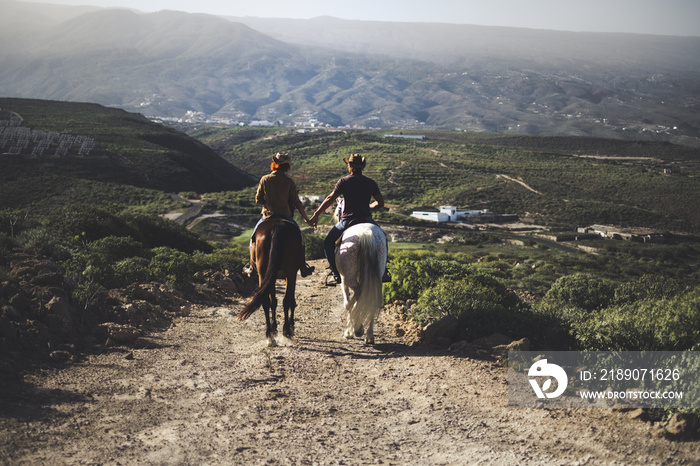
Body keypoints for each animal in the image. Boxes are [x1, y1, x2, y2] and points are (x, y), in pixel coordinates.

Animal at [237, 218, 302, 346]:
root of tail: (276, 227)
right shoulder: (291, 275)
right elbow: (290, 300)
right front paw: (290, 327)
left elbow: (273, 302)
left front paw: (274, 328)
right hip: (289, 271)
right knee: (286, 300)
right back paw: (286, 330)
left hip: (263, 273)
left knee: (265, 301)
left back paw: (269, 335)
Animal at [334, 198, 388, 344]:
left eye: (338, 209)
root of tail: (366, 234)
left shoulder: (343, 280)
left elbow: (348, 303)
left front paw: (350, 331)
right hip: (377, 273)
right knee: (370, 298)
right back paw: (369, 335)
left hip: (349, 277)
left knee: (358, 296)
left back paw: (357, 329)